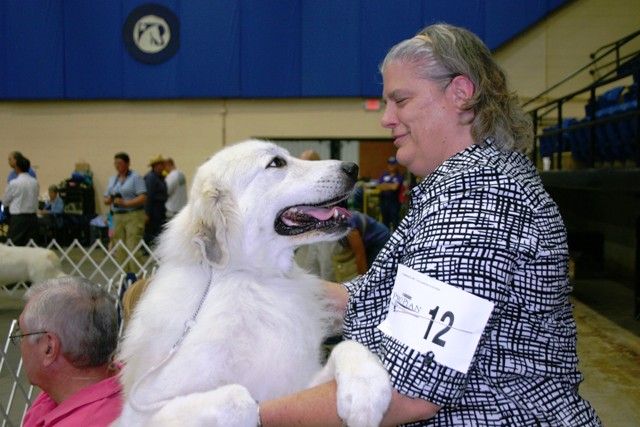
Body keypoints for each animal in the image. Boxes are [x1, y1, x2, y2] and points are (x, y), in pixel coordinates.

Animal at [117, 141, 392, 427]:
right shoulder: (141, 413)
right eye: (276, 163)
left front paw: (366, 390)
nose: (352, 168)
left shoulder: (299, 382)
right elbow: (240, 397)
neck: (254, 280)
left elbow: (347, 346)